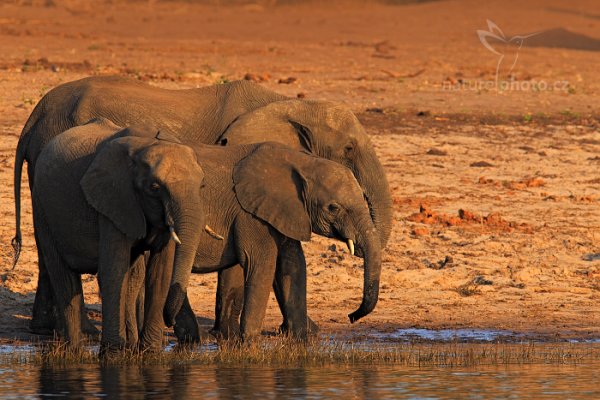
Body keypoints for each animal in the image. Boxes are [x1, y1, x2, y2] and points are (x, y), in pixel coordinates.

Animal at [27, 119, 204, 350]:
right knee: (63, 276)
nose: (170, 321)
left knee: (132, 277)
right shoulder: (112, 197)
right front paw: (112, 353)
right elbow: (113, 271)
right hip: (42, 207)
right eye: (154, 187)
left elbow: (159, 274)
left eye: (202, 185)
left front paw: (149, 352)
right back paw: (74, 350)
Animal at [162, 142, 382, 342]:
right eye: (333, 208)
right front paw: (250, 342)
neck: (302, 162)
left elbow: (292, 264)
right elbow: (262, 264)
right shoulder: (251, 214)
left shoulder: (285, 211)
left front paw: (301, 340)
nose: (351, 316)